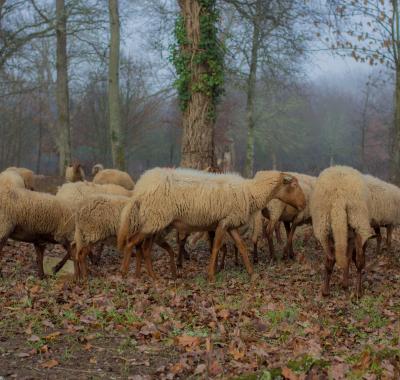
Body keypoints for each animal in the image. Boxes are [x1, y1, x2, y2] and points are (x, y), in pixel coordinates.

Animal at [117, 168, 304, 280]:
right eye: (294, 185)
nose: (303, 205)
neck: (250, 192)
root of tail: (141, 187)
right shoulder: (223, 223)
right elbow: (216, 247)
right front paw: (211, 275)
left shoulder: (231, 223)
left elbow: (242, 246)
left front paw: (251, 273)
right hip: (155, 219)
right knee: (131, 242)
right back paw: (125, 273)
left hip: (154, 221)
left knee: (145, 248)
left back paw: (151, 276)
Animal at [310, 166, 372, 296]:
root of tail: (340, 197)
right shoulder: (350, 236)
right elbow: (347, 258)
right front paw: (344, 284)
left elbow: (341, 259)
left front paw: (340, 285)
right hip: (357, 221)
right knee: (358, 260)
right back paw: (357, 291)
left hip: (325, 227)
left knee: (332, 258)